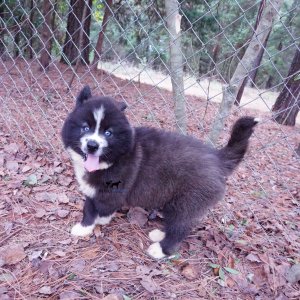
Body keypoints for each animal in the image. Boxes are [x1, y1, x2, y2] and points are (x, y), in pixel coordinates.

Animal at [61, 85, 258, 258]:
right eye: (85, 128)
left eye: (108, 133)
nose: (92, 145)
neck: (113, 159)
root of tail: (217, 158)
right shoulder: (95, 190)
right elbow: (92, 207)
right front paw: (91, 224)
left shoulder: (112, 190)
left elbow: (97, 207)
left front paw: (91, 224)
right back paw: (160, 234)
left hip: (187, 203)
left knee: (180, 228)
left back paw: (161, 250)